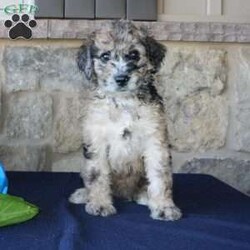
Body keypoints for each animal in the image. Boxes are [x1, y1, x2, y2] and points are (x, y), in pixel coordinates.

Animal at [69, 21, 183, 221]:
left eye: (134, 54)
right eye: (105, 56)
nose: (121, 78)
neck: (123, 102)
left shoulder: (155, 140)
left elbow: (160, 177)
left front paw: (164, 207)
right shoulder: (96, 140)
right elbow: (97, 175)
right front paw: (99, 204)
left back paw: (144, 196)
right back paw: (83, 194)